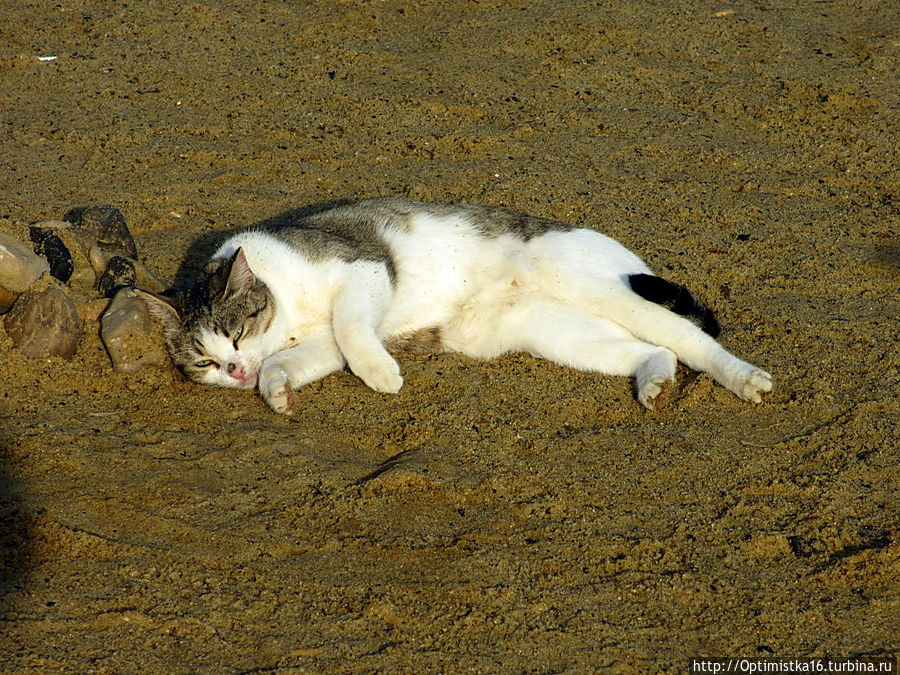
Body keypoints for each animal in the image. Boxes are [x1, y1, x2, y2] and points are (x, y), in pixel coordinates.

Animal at [137, 198, 768, 414]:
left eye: (236, 335)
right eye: (205, 362)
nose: (235, 370)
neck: (287, 313)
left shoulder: (365, 270)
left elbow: (352, 330)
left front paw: (381, 374)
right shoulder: (318, 346)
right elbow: (300, 360)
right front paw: (276, 390)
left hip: (603, 288)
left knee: (691, 340)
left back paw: (744, 379)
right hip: (560, 333)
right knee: (655, 349)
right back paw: (655, 382)